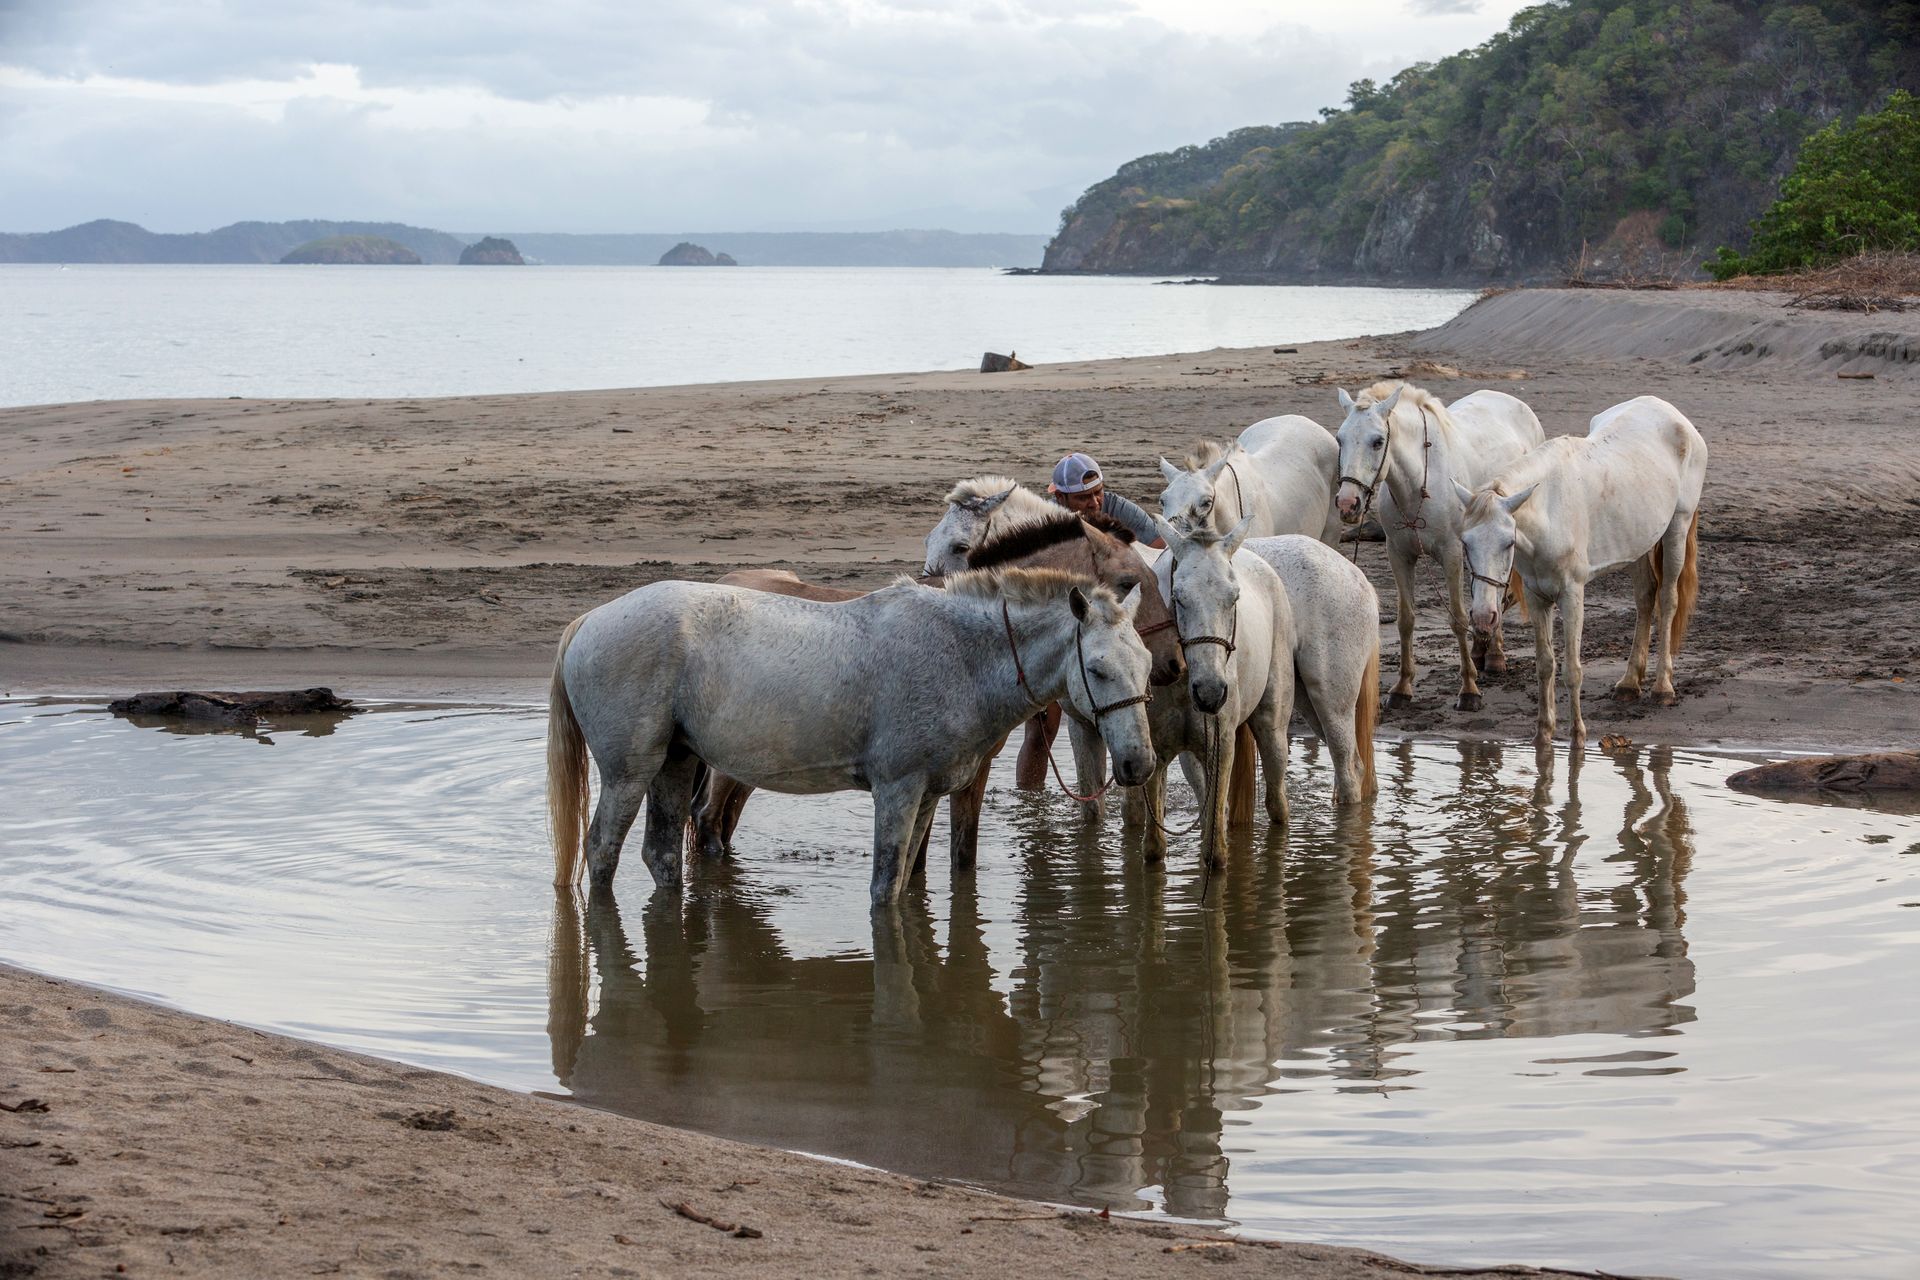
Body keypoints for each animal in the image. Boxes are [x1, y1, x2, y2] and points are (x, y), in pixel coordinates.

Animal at [691, 508, 1185, 862]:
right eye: (1129, 582)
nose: (1174, 663)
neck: (971, 640)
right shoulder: (961, 773)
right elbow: (958, 854)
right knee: (708, 820)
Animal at [1332, 381, 1544, 712]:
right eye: (1340, 439)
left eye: (1378, 442)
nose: (1347, 503)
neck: (1419, 484)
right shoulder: (1399, 555)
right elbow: (1406, 620)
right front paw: (1402, 688)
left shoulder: (1451, 554)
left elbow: (1457, 618)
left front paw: (1469, 690)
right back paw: (1482, 650)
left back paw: (1494, 656)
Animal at [1455, 395, 1707, 747]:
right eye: (1465, 542)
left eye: (1508, 542)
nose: (1482, 617)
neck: (1550, 512)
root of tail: (1672, 413)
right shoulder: (1537, 596)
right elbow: (1545, 665)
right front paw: (1543, 734)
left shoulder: (1572, 595)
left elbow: (1572, 670)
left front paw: (1577, 739)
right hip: (1639, 541)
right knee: (1645, 600)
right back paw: (1629, 683)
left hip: (1677, 528)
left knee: (1668, 600)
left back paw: (1663, 689)